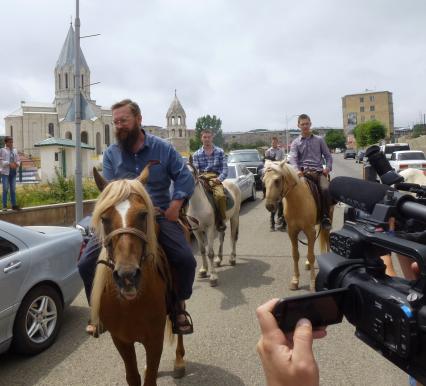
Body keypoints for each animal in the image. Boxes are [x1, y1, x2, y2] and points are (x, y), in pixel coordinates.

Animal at [89, 166, 186, 386]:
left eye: (143, 215)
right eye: (104, 219)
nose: (127, 276)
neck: (130, 304)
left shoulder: (155, 340)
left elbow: (149, 379)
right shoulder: (121, 340)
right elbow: (133, 376)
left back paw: (179, 361)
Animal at [262, 159, 332, 290]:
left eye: (277, 180)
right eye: (263, 181)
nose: (269, 206)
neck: (297, 201)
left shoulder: (310, 231)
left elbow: (311, 255)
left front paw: (312, 283)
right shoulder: (292, 232)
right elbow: (296, 255)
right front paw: (295, 281)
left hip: (328, 221)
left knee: (327, 238)